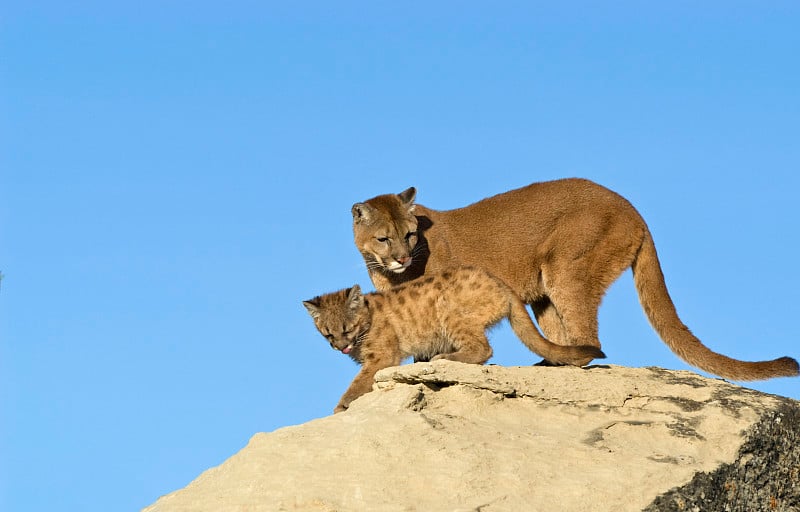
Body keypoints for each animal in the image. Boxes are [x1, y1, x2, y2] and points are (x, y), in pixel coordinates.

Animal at [354, 178, 796, 382]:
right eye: (384, 238)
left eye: (410, 234)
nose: (402, 257)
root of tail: (632, 208)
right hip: (544, 293)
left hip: (567, 269)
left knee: (590, 341)